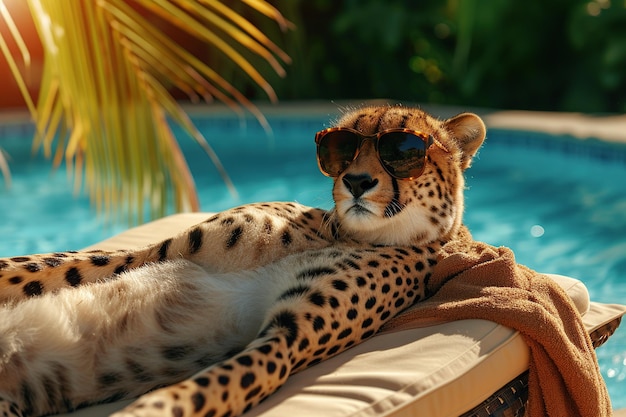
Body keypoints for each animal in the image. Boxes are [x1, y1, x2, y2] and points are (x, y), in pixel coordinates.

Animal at [0, 105, 482, 416]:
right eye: (341, 149)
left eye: (403, 151)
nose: (357, 181)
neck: (342, 232)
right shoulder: (157, 250)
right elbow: (49, 266)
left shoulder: (286, 338)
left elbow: (199, 391)